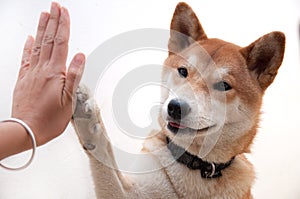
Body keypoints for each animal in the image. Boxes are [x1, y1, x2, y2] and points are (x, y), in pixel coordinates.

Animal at [71, 2, 284, 198]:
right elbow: (104, 153)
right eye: (183, 71)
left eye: (224, 86)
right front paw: (86, 118)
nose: (175, 107)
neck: (197, 167)